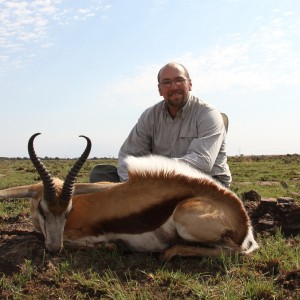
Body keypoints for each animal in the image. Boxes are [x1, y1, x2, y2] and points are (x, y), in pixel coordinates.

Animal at [0, 132, 258, 258]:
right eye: (43, 209)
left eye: (67, 211)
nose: (54, 249)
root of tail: (242, 218)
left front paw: (115, 246)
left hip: (186, 219)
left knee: (236, 251)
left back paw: (169, 252)